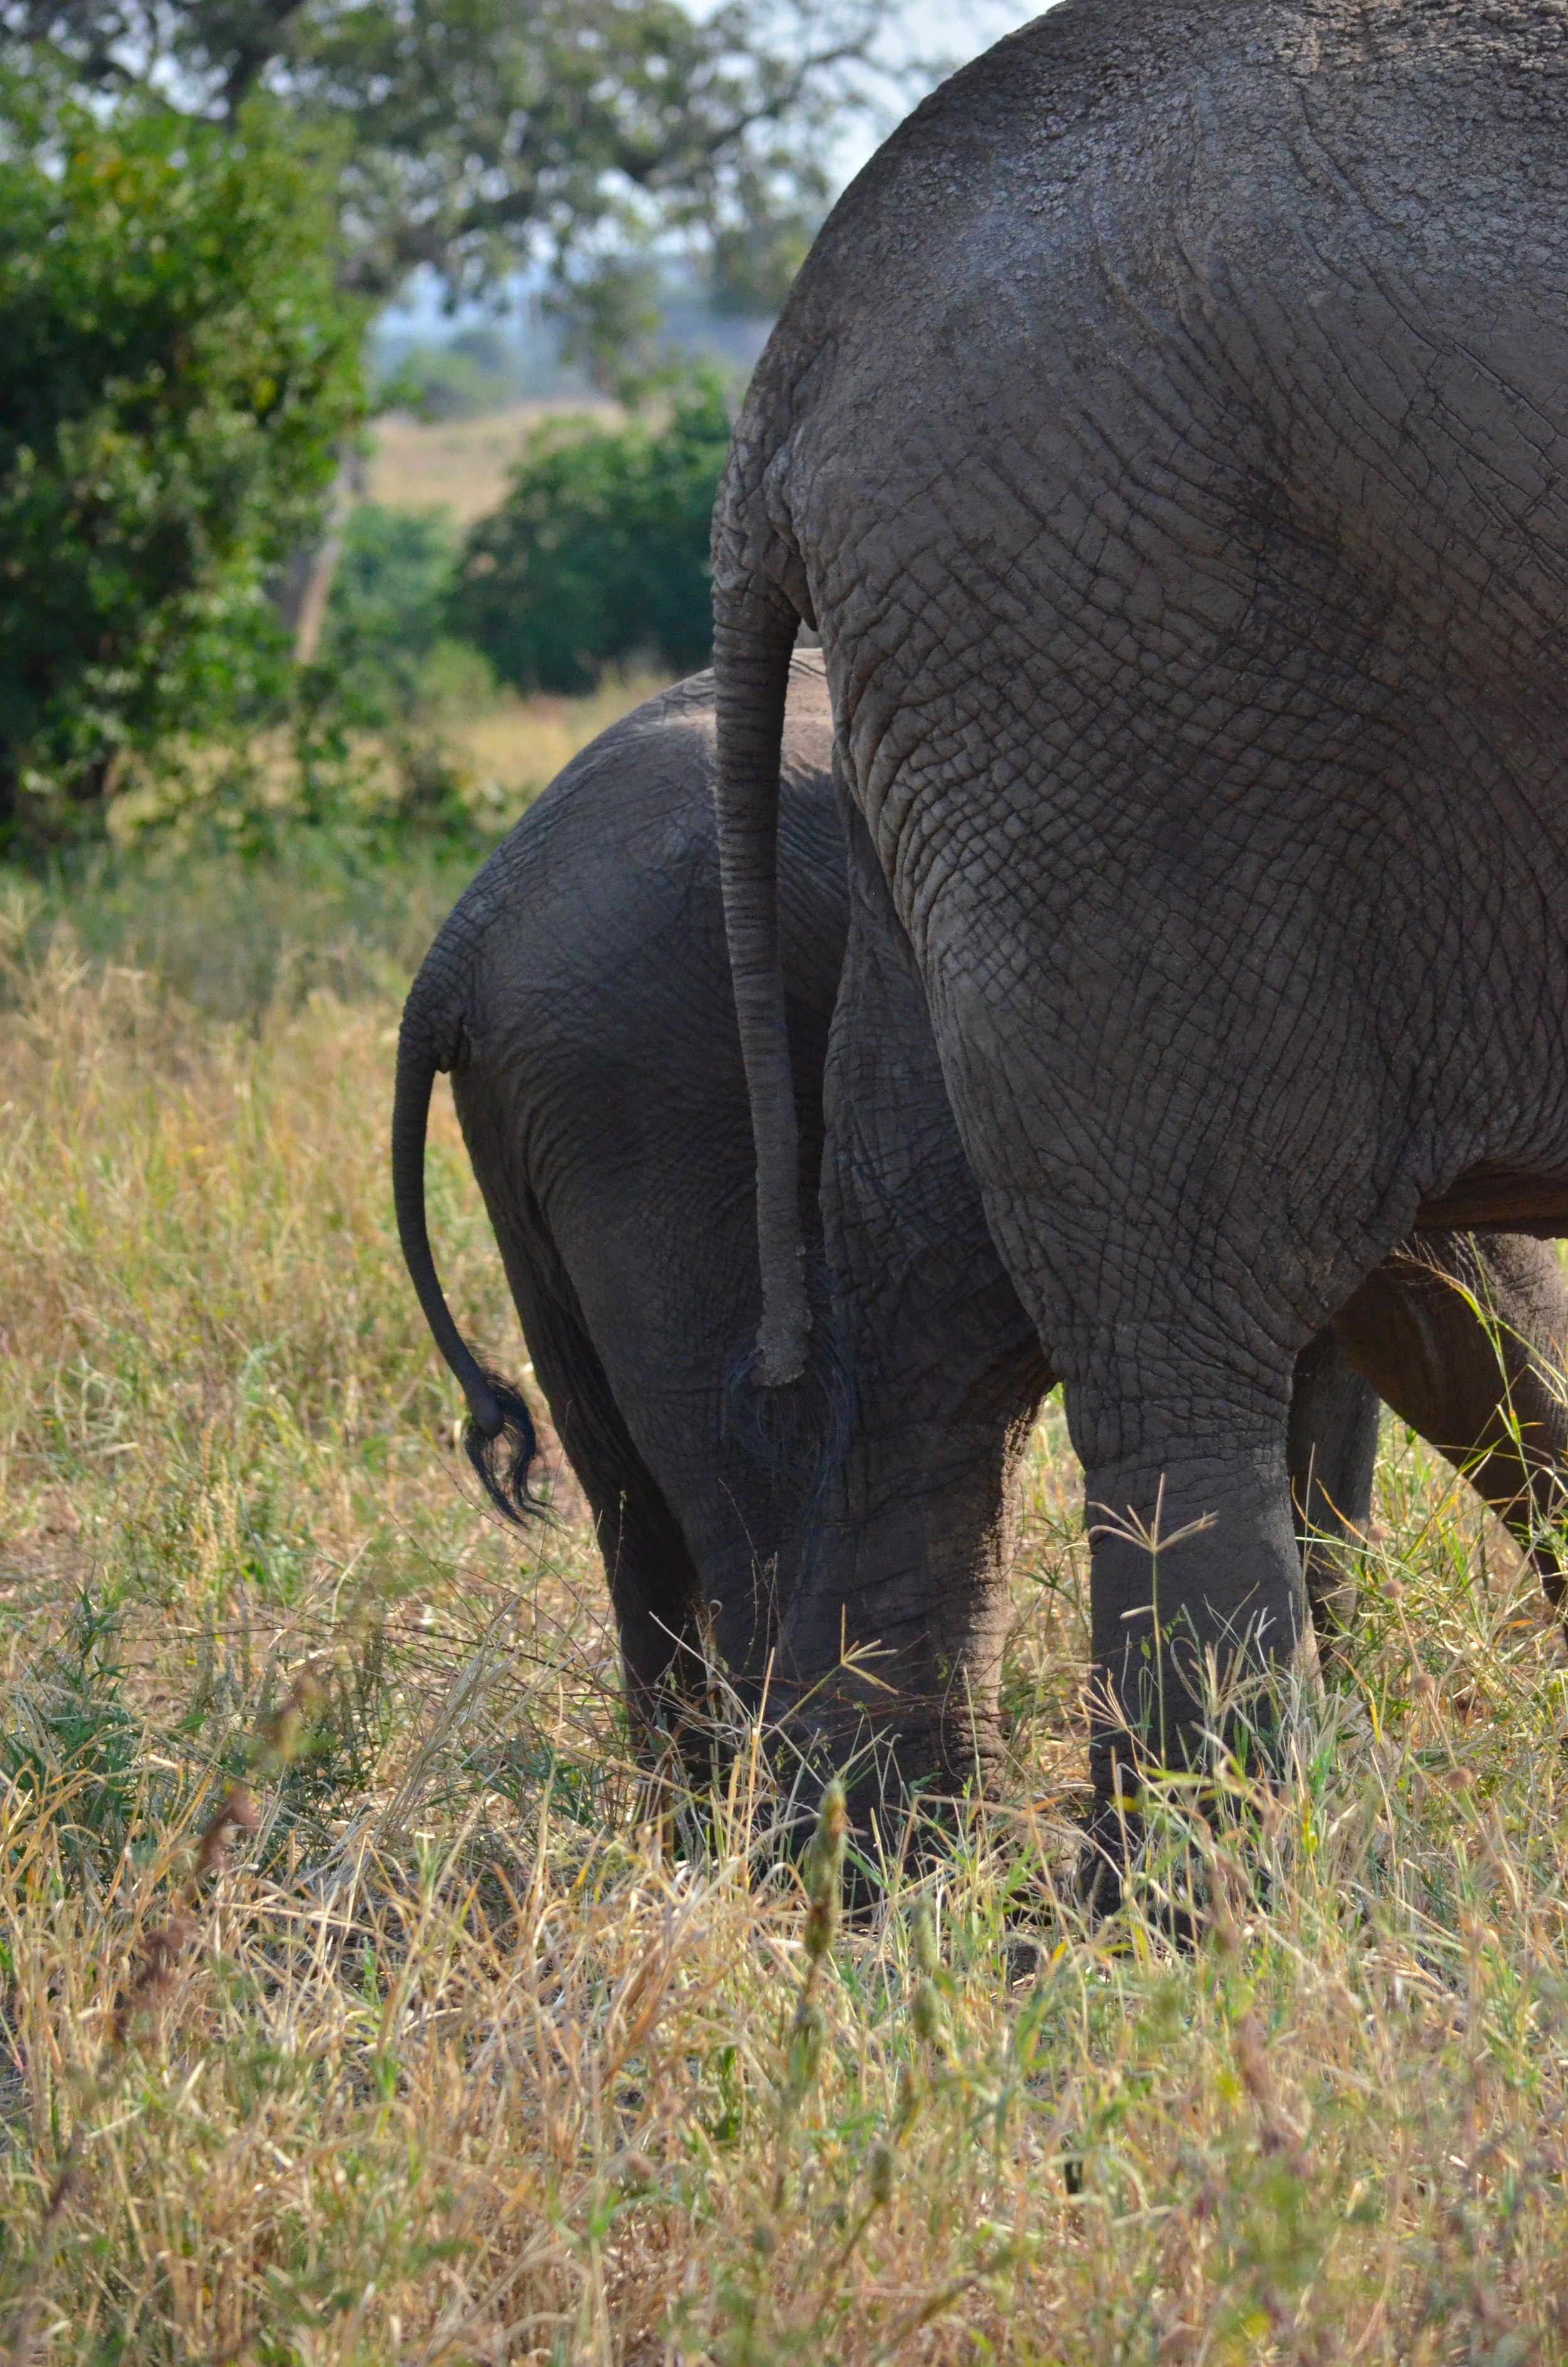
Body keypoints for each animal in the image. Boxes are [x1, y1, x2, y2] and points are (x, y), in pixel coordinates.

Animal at [393, 664, 1568, 1788]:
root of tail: (457, 948)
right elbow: (1445, 1298)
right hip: (667, 1101)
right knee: (753, 1492)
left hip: (553, 1125)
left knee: (629, 1505)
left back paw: (690, 1824)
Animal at [710, 0, 1568, 1834]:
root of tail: (789, 387)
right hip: (1131, 705)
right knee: (1177, 1331)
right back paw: (1213, 1884)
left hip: (987, 748)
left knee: (922, 1310)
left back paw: (863, 1878)